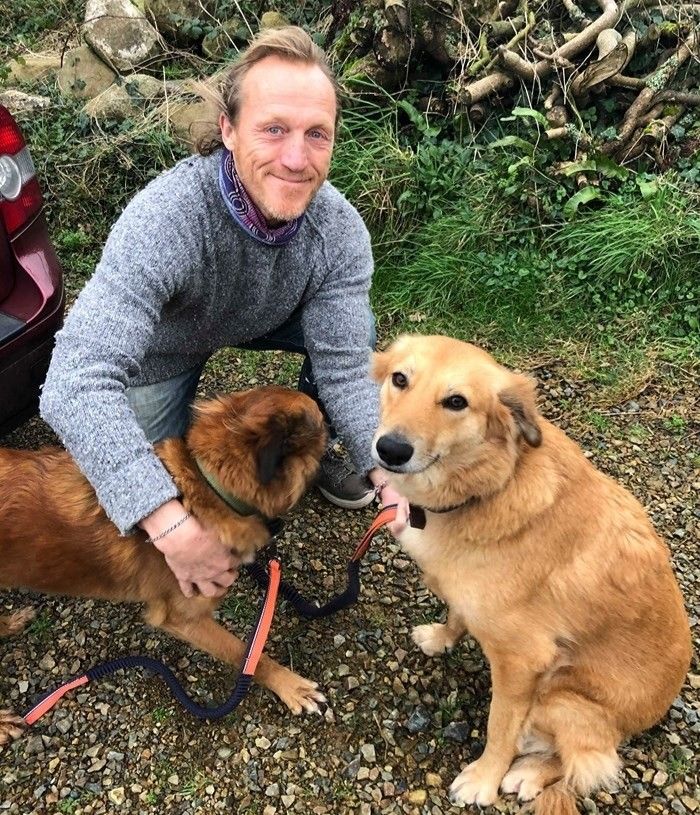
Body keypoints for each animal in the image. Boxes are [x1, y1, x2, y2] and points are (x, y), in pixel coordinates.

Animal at [372, 334, 688, 815]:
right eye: (400, 379)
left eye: (456, 401)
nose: (390, 449)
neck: (490, 486)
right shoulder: (470, 598)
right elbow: (458, 614)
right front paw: (442, 638)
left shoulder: (522, 662)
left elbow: (500, 728)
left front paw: (483, 779)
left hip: (559, 694)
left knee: (588, 759)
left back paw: (527, 774)